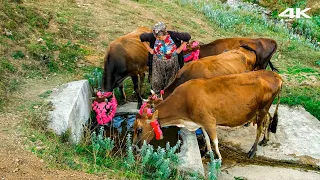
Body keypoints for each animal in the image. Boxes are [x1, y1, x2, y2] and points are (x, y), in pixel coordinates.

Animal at [132, 70, 282, 159]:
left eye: (139, 129)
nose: (133, 147)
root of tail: (275, 75)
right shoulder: (201, 122)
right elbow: (207, 139)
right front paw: (207, 153)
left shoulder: (209, 121)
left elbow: (215, 142)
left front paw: (218, 160)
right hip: (262, 109)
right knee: (268, 119)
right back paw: (265, 140)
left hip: (262, 108)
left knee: (259, 128)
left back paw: (253, 150)